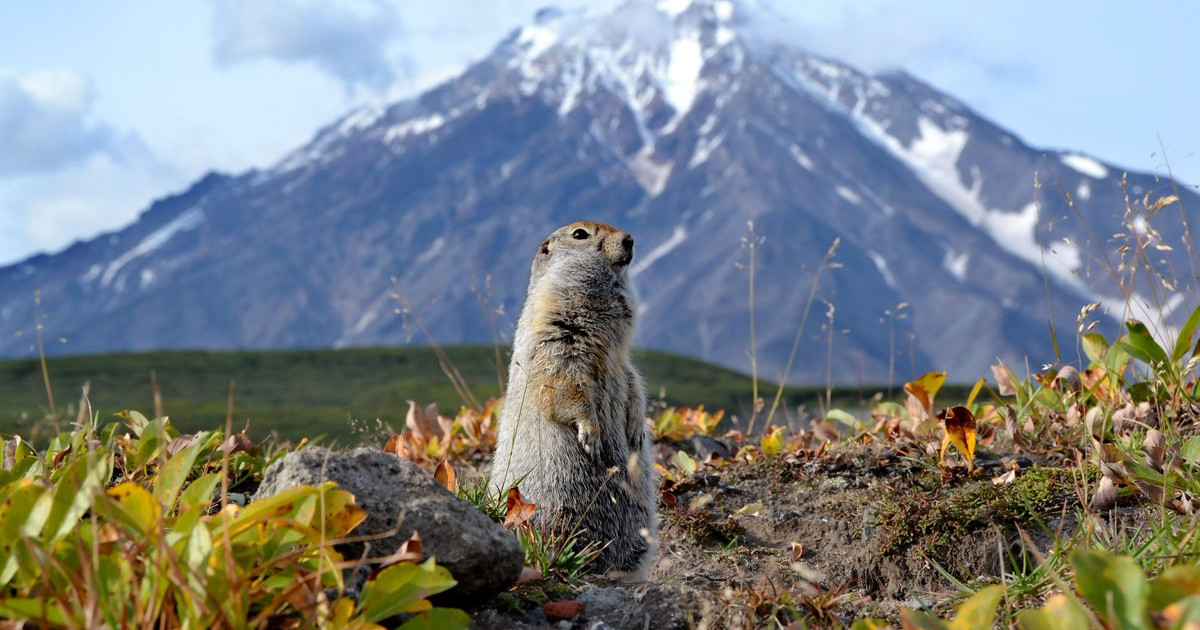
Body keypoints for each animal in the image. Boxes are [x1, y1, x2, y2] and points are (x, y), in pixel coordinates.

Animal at [487, 219, 657, 573]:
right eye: (580, 234)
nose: (630, 239)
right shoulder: (558, 338)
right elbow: (567, 383)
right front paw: (591, 434)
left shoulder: (622, 362)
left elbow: (633, 381)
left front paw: (638, 428)